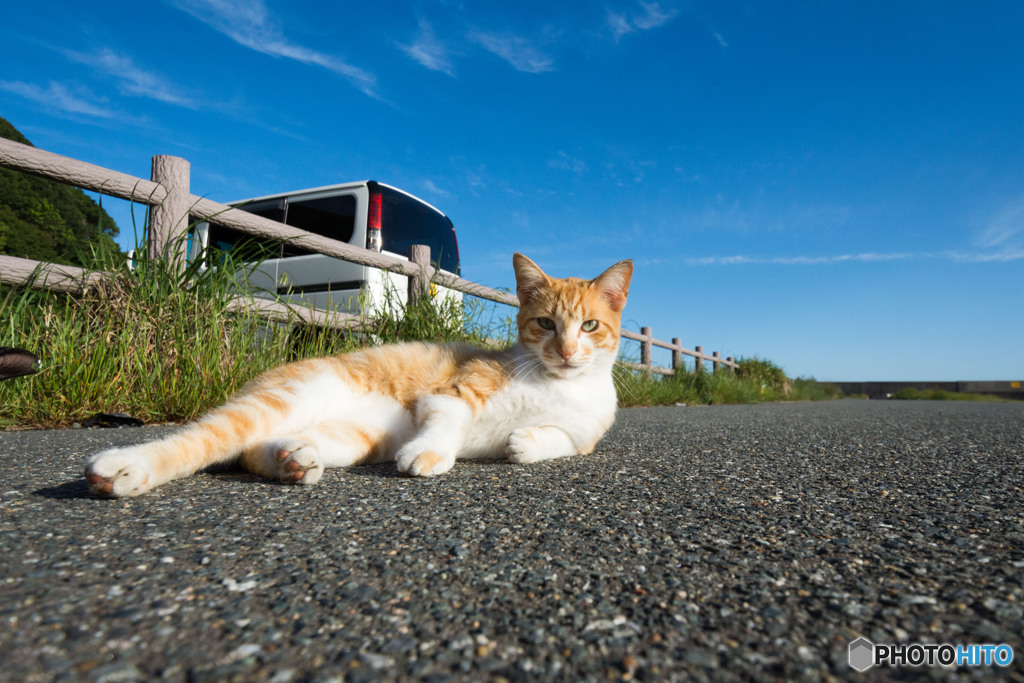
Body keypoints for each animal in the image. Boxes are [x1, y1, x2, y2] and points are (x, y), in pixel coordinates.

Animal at [83, 253, 630, 499]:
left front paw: (525, 442)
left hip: (354, 437)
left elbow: (557, 441)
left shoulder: (584, 435)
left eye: (589, 326)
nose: (566, 350)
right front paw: (430, 453)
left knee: (252, 451)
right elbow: (447, 420)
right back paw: (122, 468)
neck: (554, 384)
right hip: (290, 398)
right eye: (545, 324)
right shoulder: (453, 392)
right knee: (208, 439)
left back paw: (291, 460)